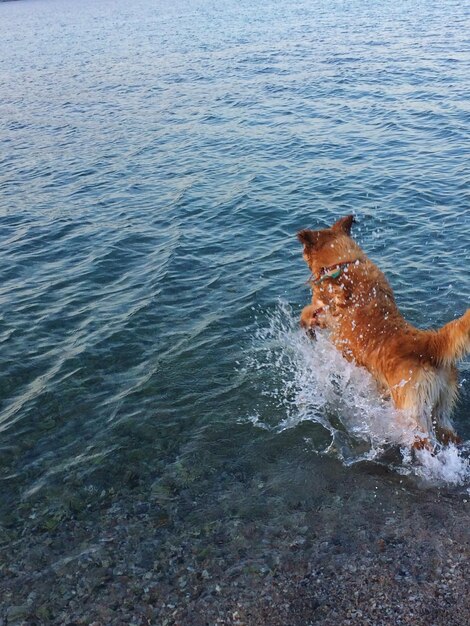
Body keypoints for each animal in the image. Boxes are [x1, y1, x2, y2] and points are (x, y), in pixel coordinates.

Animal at [300, 216, 468, 448]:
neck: (342, 264)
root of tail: (430, 344)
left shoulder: (334, 328)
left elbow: (310, 310)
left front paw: (306, 324)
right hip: (442, 411)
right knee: (449, 433)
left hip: (414, 416)